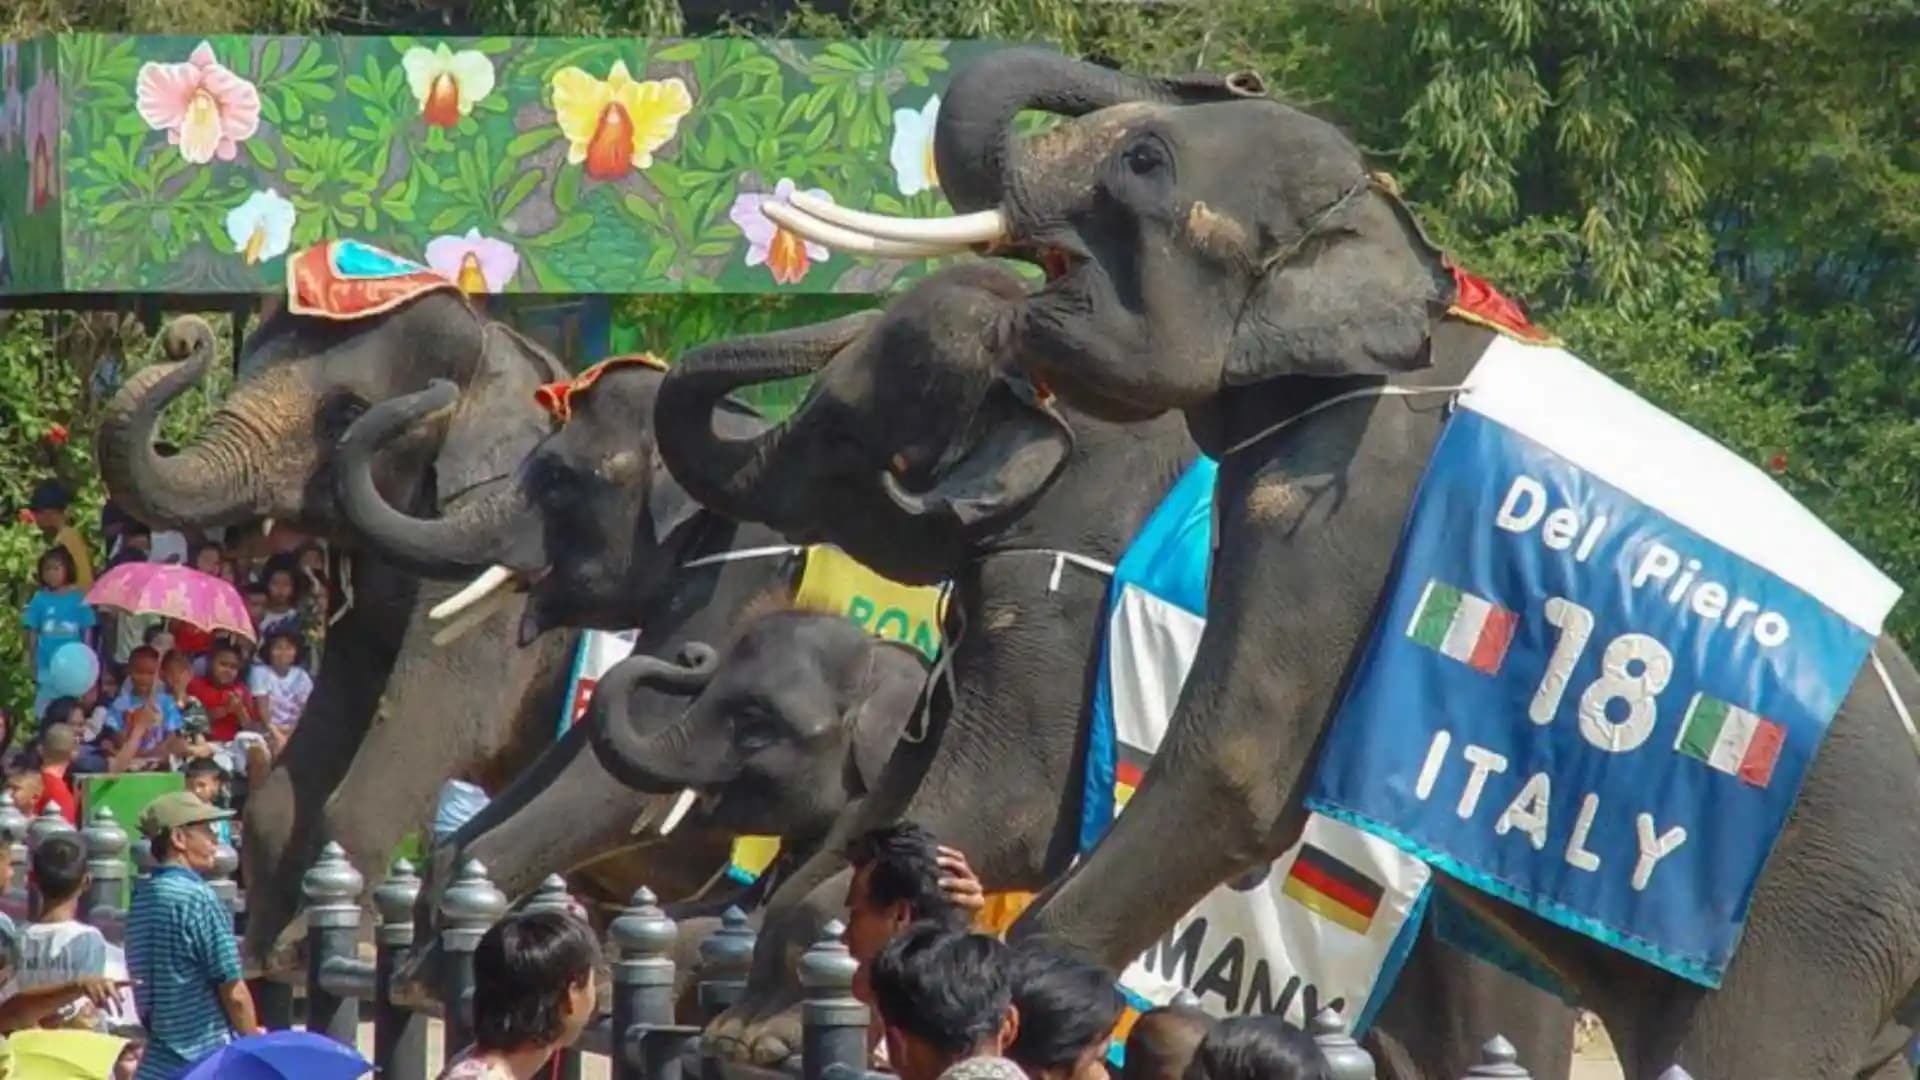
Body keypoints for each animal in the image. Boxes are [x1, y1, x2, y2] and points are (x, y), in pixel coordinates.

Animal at [96, 298, 580, 969]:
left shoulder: (503, 561)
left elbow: (441, 719)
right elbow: (339, 705)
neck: (494, 349)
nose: (185, 336)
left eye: (348, 415)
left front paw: (316, 947)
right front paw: (265, 950)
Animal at [647, 263, 1577, 1078]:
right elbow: (884, 808)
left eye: (842, 428)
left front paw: (758, 1038)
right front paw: (742, 1032)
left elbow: (1013, 808)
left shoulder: (1066, 582)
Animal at [758, 46, 1920, 1079]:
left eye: (1144, 163)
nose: (1236, 70)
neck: (1396, 245)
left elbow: (1221, 780)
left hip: (1813, 929)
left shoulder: (1349, 493)